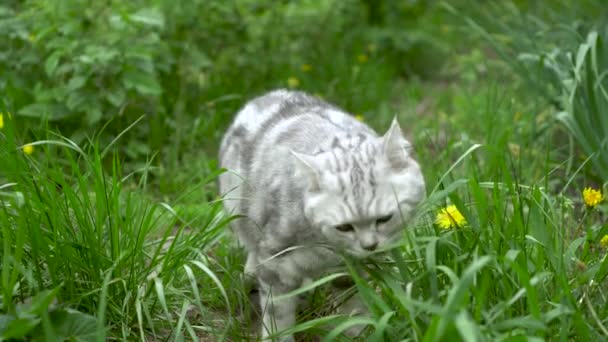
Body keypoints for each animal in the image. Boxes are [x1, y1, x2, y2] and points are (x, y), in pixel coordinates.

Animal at [221, 89, 426, 340]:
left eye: (384, 219)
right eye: (344, 227)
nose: (370, 246)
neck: (325, 248)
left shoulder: (351, 271)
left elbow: (354, 306)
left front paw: (356, 333)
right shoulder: (274, 262)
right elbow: (277, 315)